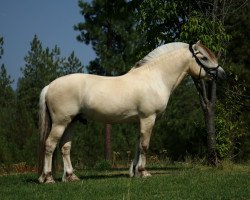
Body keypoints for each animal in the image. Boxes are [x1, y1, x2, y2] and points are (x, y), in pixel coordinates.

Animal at [37, 40, 227, 183]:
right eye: (203, 57)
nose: (222, 74)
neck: (156, 77)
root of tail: (50, 86)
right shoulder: (148, 118)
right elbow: (144, 145)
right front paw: (143, 172)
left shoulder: (140, 120)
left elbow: (138, 144)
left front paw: (134, 172)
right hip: (60, 122)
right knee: (50, 145)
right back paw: (48, 178)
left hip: (72, 122)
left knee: (65, 147)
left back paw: (71, 177)